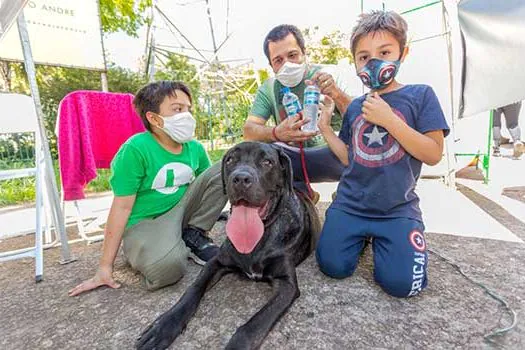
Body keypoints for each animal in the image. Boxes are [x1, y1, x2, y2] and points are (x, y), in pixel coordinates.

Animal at [136, 142, 320, 350]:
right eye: (231, 159)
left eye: (267, 162)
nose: (240, 179)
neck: (258, 238)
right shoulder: (216, 263)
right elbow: (192, 290)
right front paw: (164, 326)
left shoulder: (286, 284)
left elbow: (255, 323)